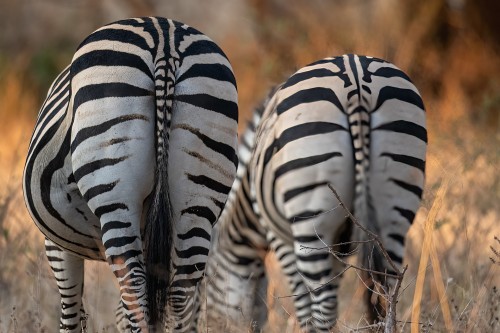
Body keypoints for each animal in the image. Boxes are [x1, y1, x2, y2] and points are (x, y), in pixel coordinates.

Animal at [24, 17, 239, 332]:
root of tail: (164, 39)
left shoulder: (57, 246)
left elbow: (71, 315)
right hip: (199, 196)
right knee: (179, 295)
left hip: (115, 191)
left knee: (135, 289)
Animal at [199, 54, 426, 332]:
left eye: (205, 285)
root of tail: (357, 80)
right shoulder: (337, 248)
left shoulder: (280, 236)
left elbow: (305, 305)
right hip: (394, 208)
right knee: (387, 294)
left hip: (310, 218)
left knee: (325, 304)